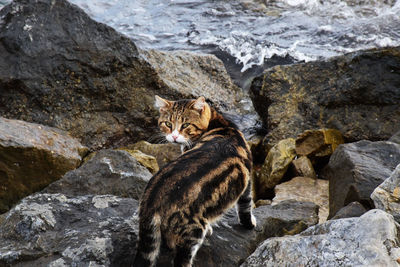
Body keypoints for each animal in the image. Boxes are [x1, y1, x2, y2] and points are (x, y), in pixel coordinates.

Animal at [133, 95, 255, 266]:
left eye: (185, 125)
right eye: (168, 124)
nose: (174, 136)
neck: (221, 126)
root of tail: (151, 202)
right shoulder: (247, 177)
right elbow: (246, 205)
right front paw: (250, 224)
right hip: (192, 231)